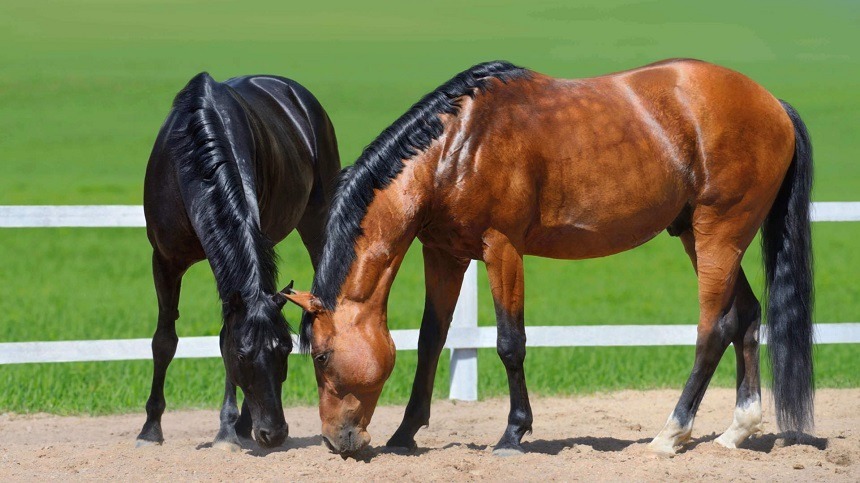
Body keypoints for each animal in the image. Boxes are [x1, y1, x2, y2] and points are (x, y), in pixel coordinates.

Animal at [137, 72, 340, 450]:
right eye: (242, 355)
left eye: (286, 350)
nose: (275, 433)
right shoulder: (165, 261)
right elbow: (165, 341)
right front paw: (150, 430)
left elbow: (220, 336)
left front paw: (228, 430)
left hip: (316, 222)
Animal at [282, 60, 812, 458]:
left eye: (322, 356)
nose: (335, 442)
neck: (456, 146)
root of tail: (774, 104)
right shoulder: (444, 254)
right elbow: (432, 339)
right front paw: (405, 433)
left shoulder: (502, 249)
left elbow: (509, 342)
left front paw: (513, 433)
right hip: (699, 238)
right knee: (746, 317)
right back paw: (737, 430)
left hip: (719, 236)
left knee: (712, 329)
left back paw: (670, 434)